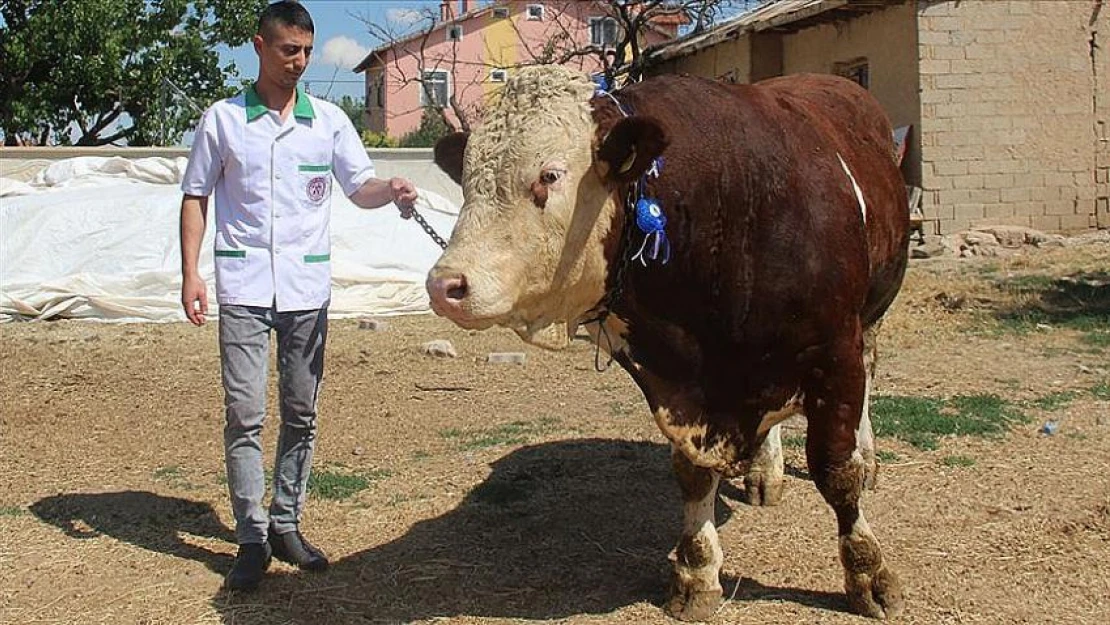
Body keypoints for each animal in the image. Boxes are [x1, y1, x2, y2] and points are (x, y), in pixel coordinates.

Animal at [424, 66, 910, 617]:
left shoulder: (834, 353)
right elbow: (693, 475)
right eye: (467, 180)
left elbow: (835, 470)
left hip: (870, 319)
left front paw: (869, 571)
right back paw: (765, 470)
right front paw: (697, 572)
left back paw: (866, 459)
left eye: (549, 175)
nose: (445, 285)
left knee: (868, 376)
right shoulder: (680, 386)